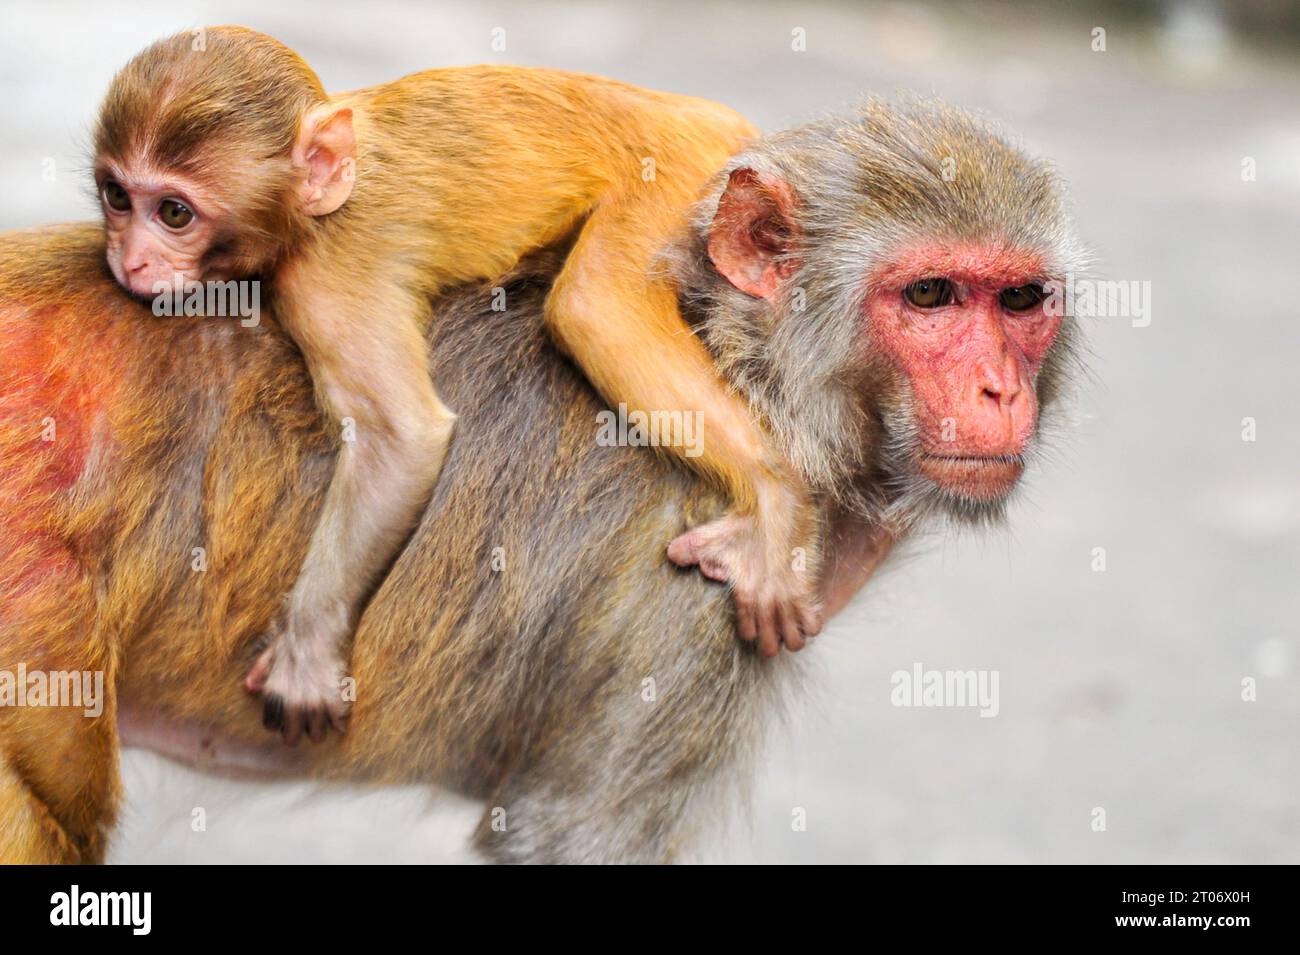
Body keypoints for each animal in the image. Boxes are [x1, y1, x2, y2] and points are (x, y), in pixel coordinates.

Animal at [94, 20, 821, 738]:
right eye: (117, 198)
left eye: (175, 214)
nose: (129, 259)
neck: (311, 199)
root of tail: (703, 114)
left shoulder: (326, 275)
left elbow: (401, 436)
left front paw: (308, 650)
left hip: (677, 180)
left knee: (592, 303)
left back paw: (775, 496)